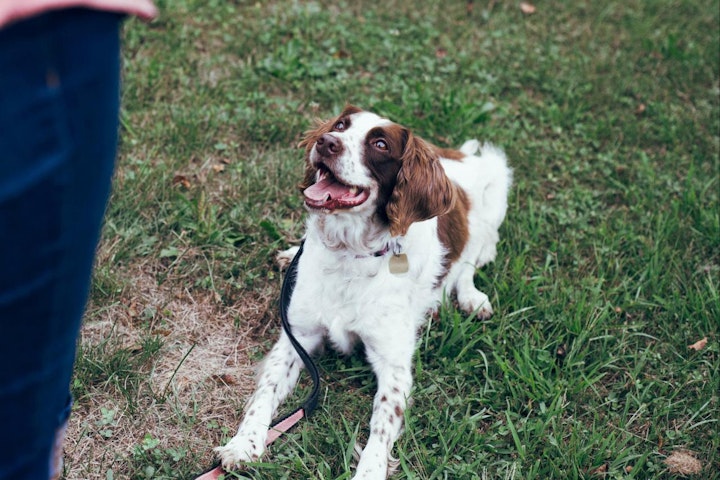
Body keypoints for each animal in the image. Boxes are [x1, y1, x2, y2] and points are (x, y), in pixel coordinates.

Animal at [214, 106, 512, 480]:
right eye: (341, 126)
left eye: (380, 144)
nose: (326, 142)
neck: (350, 252)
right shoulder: (298, 336)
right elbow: (264, 393)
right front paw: (244, 444)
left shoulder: (394, 365)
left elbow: (381, 427)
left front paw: (369, 471)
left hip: (496, 184)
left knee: (472, 258)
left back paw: (472, 297)